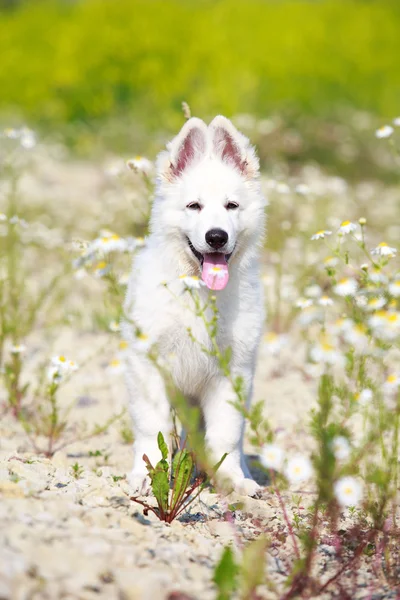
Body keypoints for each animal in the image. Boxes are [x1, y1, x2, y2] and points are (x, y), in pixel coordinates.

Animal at [122, 116, 266, 496]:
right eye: (194, 206)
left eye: (232, 206)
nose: (216, 237)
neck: (198, 292)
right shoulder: (147, 368)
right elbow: (151, 428)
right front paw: (147, 476)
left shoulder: (232, 374)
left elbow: (225, 436)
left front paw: (231, 479)